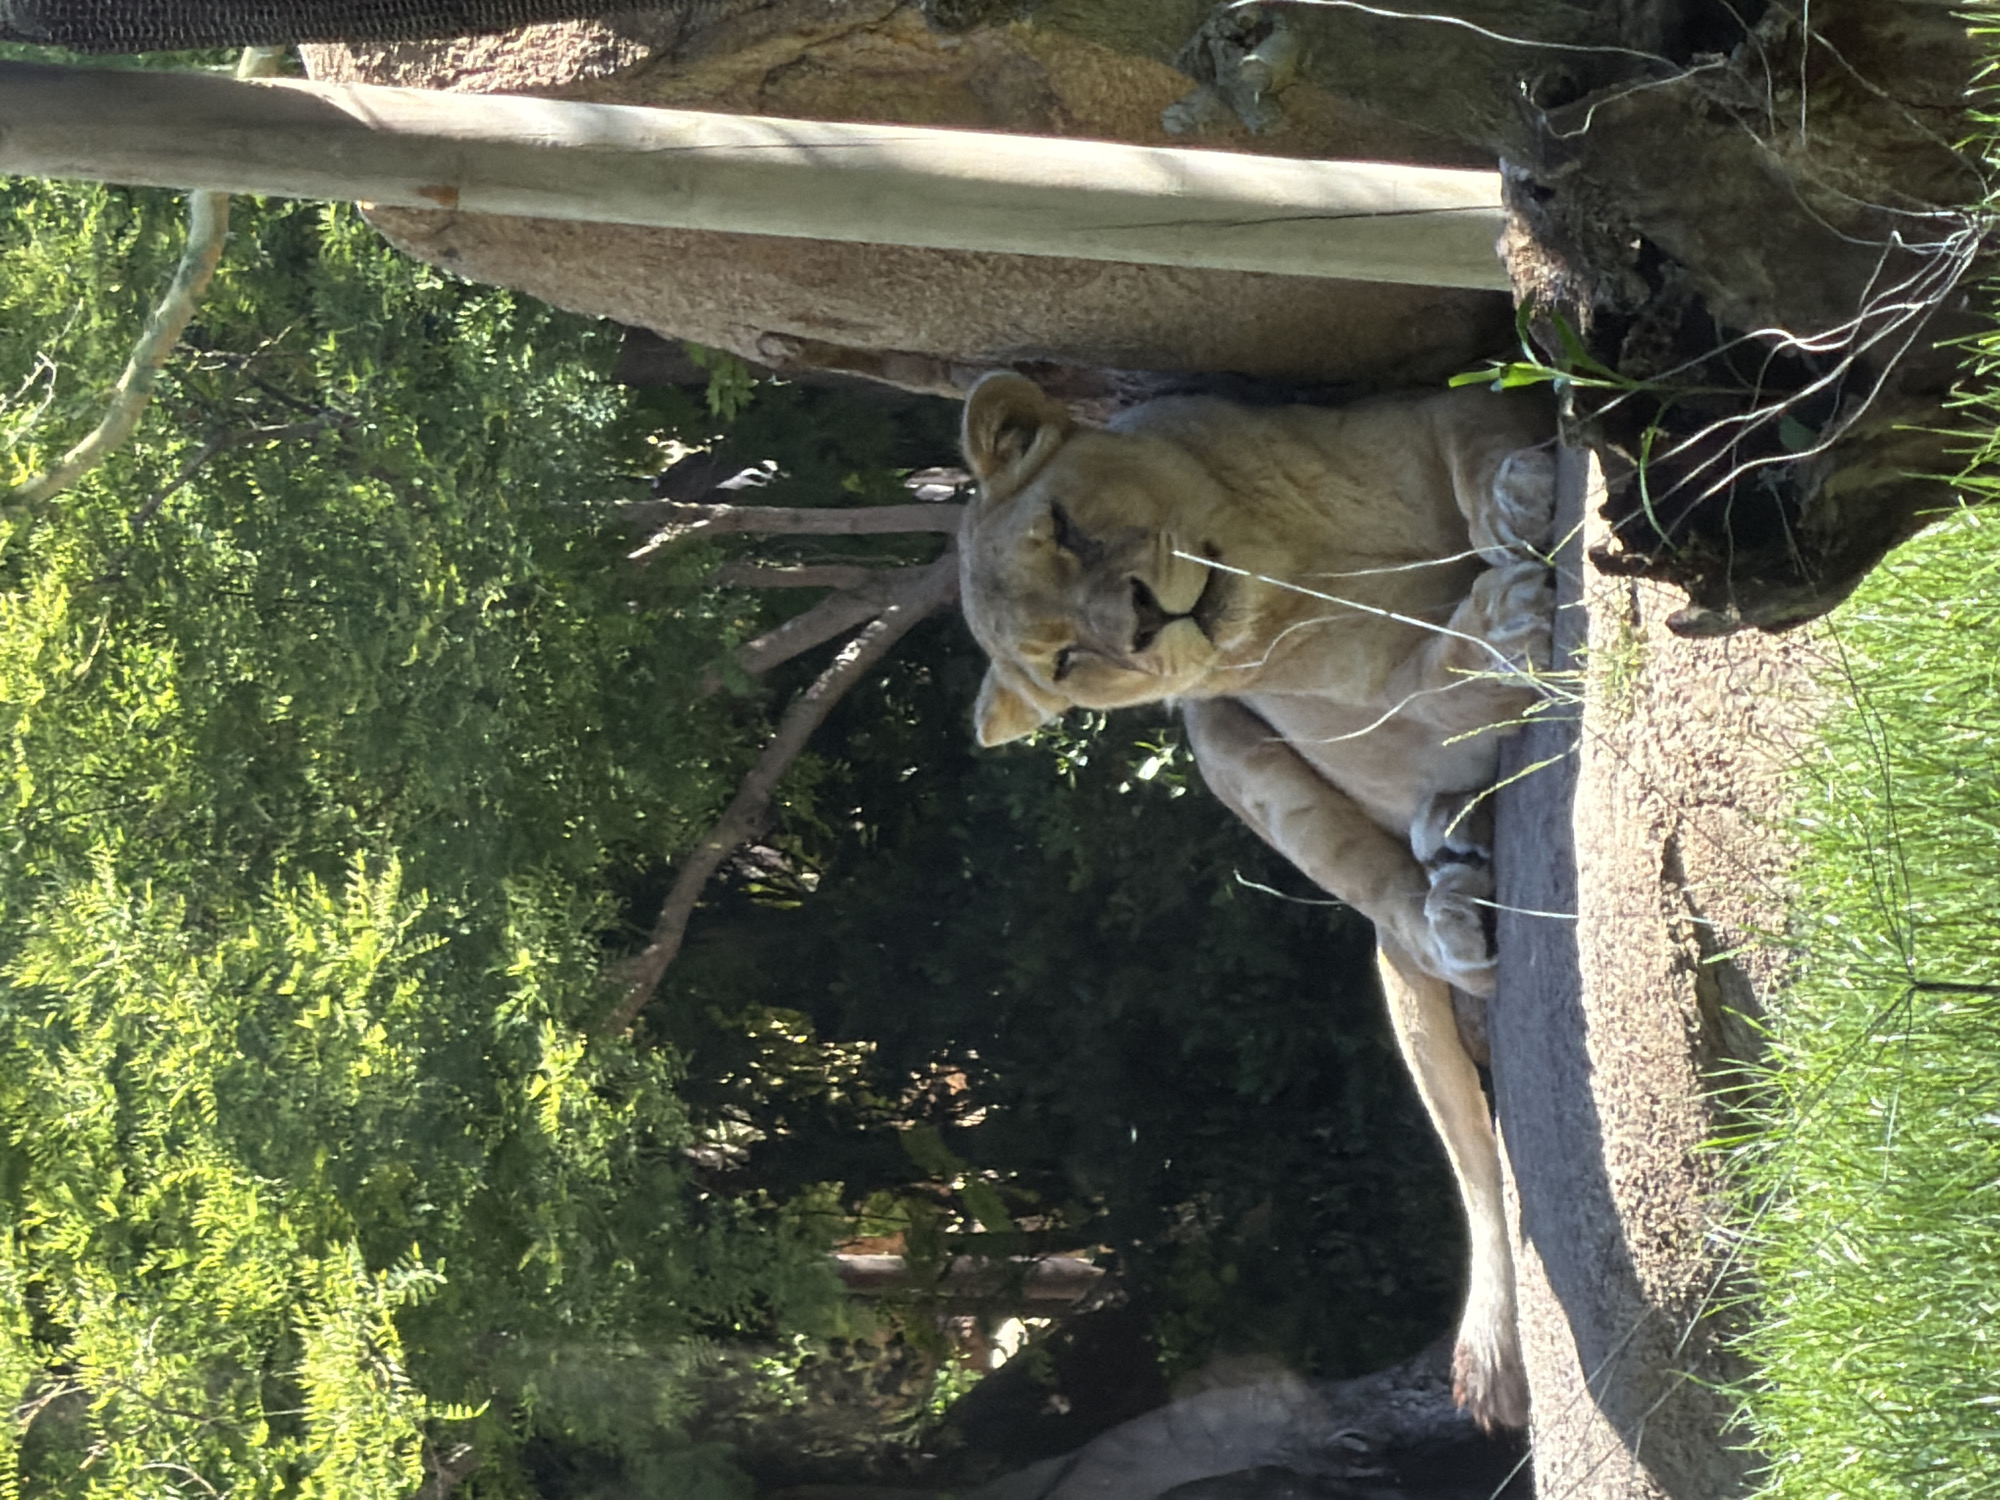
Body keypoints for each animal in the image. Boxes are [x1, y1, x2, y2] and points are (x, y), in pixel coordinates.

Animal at [956, 371, 1558, 1432]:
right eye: (1064, 659)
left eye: (1063, 527)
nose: (1142, 623)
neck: (1296, 562)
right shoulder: (1368, 715)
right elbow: (1427, 686)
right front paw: (1504, 620)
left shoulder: (1422, 416)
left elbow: (1478, 444)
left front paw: (1517, 501)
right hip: (1228, 755)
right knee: (1416, 971)